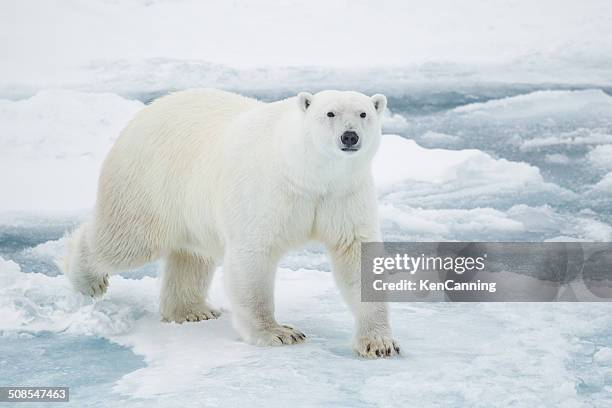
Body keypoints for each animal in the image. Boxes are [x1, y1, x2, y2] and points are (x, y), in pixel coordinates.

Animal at [64, 88, 400, 356]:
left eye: (364, 113)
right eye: (329, 113)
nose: (349, 136)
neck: (307, 173)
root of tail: (141, 115)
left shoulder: (343, 194)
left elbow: (356, 255)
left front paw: (380, 343)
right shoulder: (269, 192)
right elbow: (253, 256)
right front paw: (278, 333)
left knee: (190, 255)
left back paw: (192, 311)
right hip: (149, 183)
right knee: (125, 240)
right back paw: (87, 280)